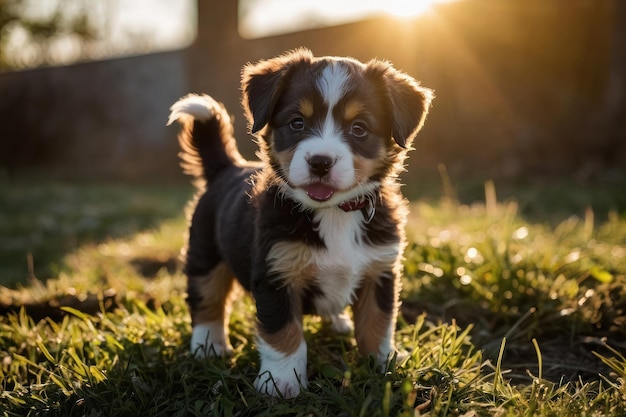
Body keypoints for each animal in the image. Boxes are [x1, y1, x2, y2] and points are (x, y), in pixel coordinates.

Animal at [168, 48, 432, 396]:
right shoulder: (276, 273)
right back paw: (208, 345)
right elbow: (284, 332)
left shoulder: (380, 269)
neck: (335, 213)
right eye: (297, 123)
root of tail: (226, 167)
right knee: (206, 297)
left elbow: (377, 322)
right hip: (204, 252)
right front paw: (281, 382)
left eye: (359, 128)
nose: (320, 162)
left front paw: (384, 364)